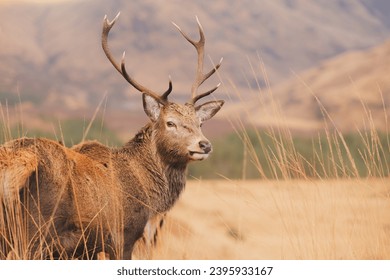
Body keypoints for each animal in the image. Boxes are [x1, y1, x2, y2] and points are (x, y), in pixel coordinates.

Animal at [0, 12, 224, 260]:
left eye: (200, 123)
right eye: (170, 123)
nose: (204, 145)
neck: (146, 191)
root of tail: (17, 166)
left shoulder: (84, 250)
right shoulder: (123, 235)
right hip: (34, 231)